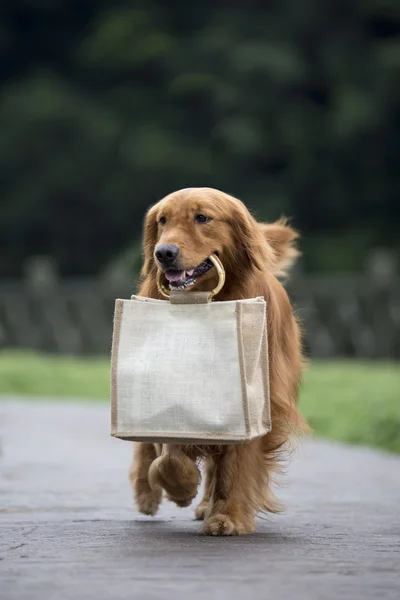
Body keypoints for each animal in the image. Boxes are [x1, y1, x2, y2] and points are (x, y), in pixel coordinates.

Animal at [130, 188, 308, 536]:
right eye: (162, 220)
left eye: (202, 217)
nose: (163, 253)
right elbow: (168, 453)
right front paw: (181, 486)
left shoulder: (258, 403)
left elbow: (237, 465)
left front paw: (228, 517)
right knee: (146, 446)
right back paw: (147, 493)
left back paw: (206, 504)